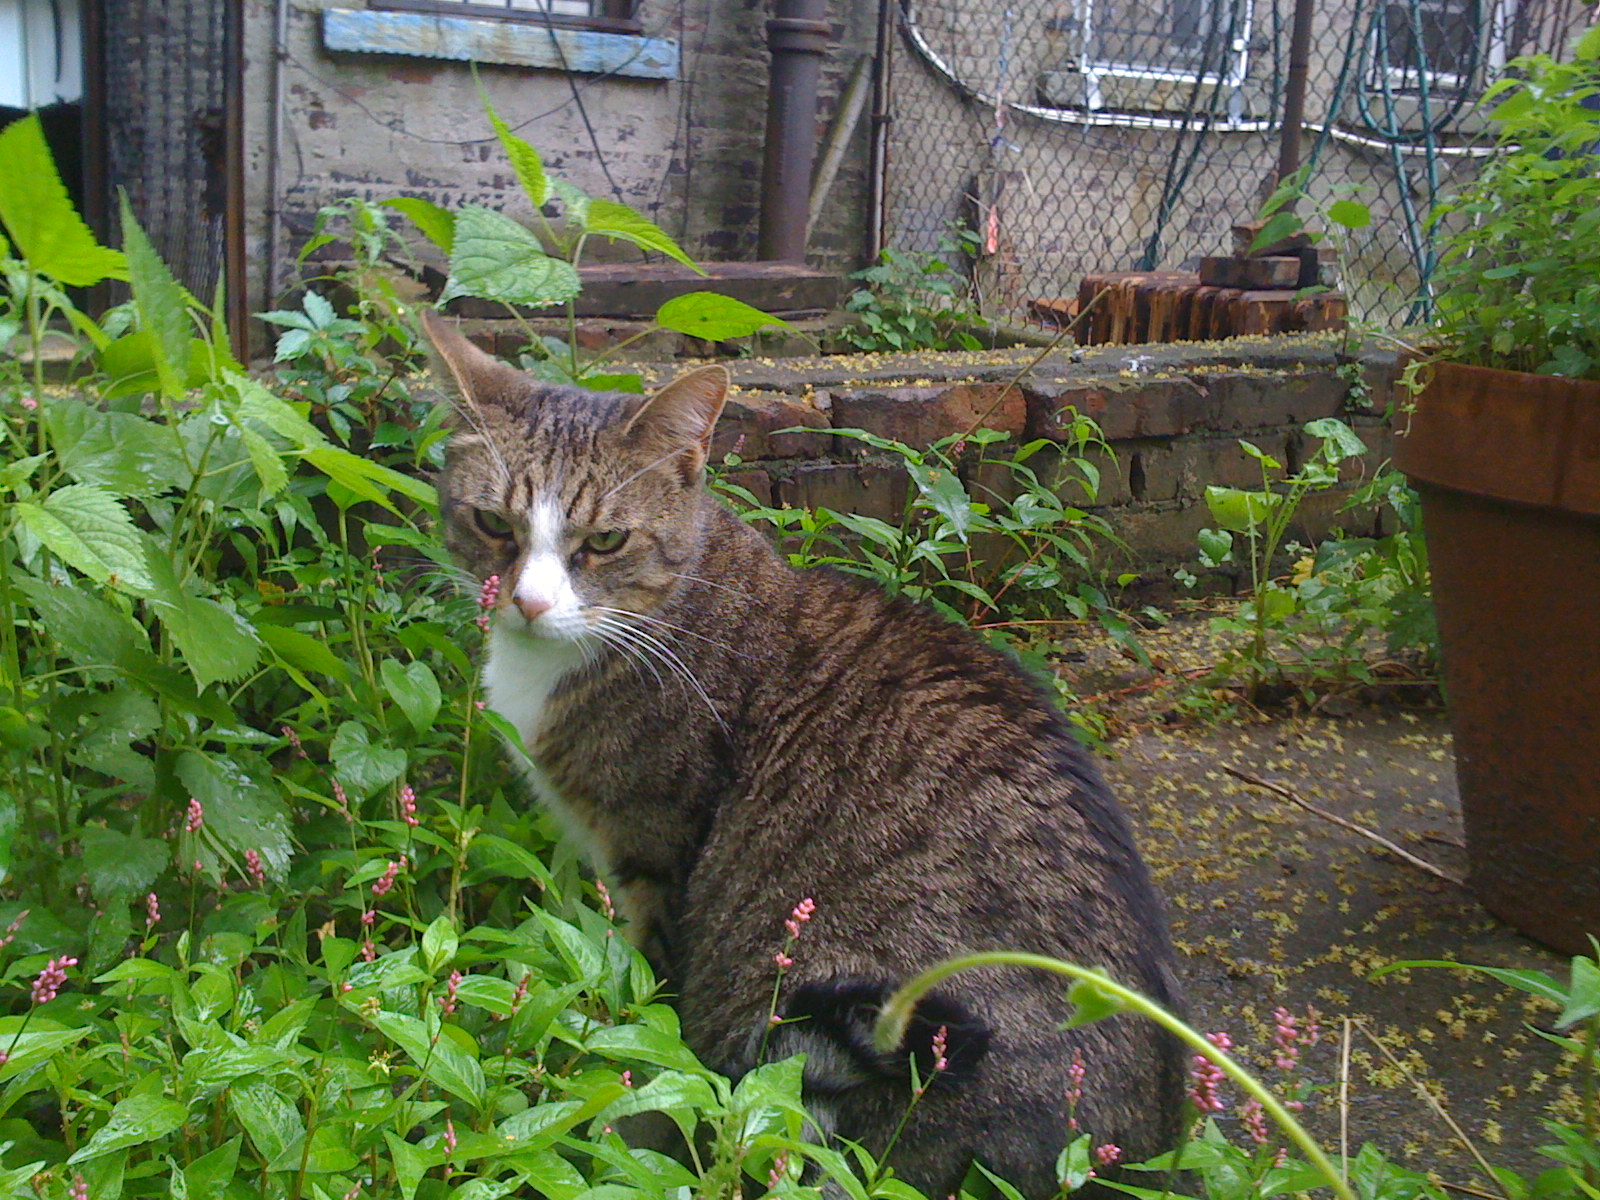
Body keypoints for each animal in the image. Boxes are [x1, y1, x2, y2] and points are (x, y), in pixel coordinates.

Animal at [425, 312, 1190, 1200]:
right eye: (493, 525)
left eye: (606, 540)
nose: (529, 601)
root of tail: (1137, 1166)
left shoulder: (655, 857)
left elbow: (652, 1011)